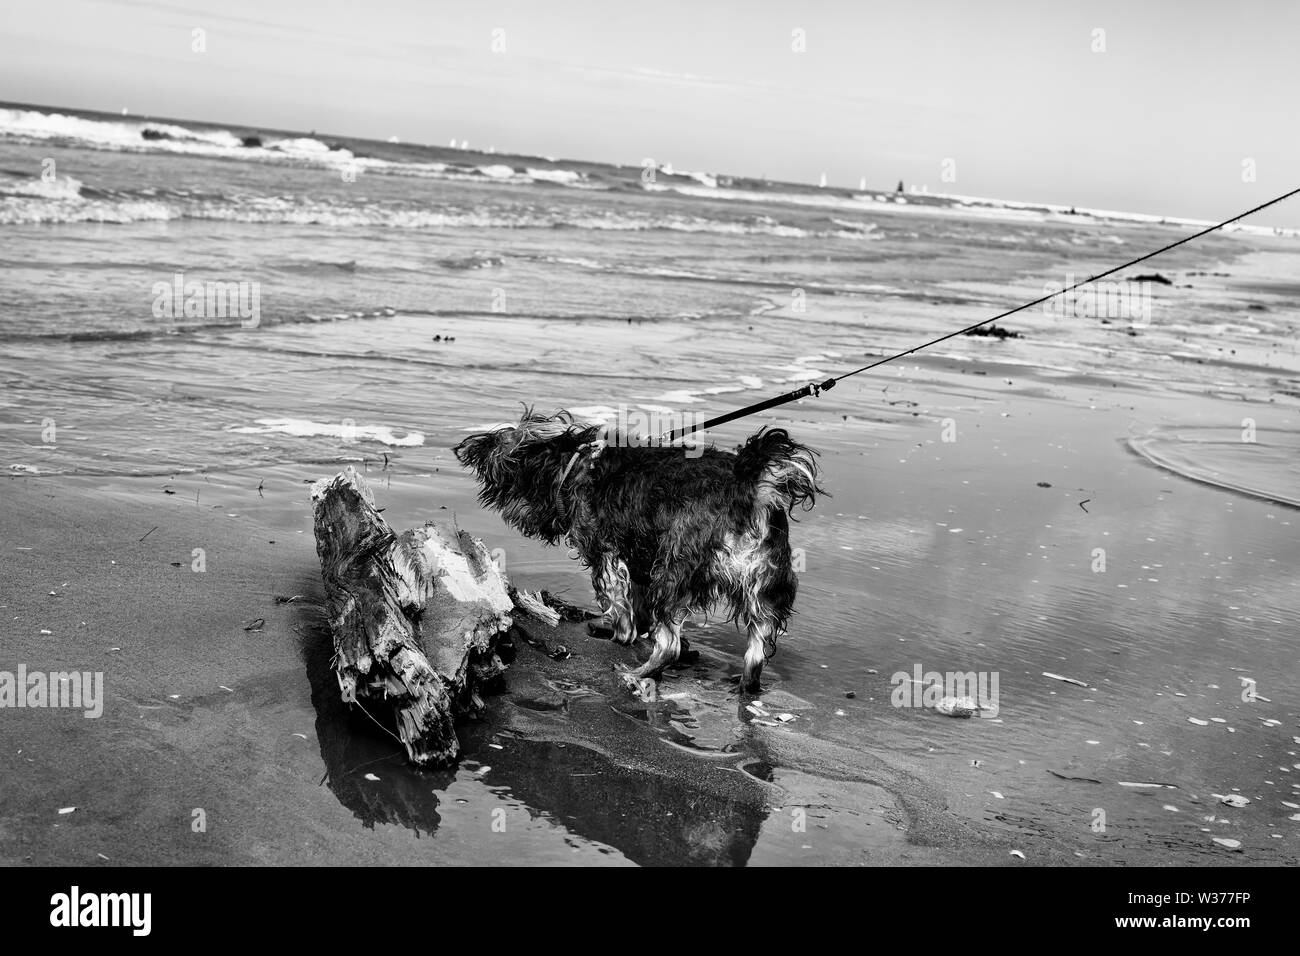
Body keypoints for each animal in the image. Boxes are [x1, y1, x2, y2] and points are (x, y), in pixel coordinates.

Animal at [454, 411, 821, 697]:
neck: (572, 464)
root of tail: (750, 487)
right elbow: (637, 600)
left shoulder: (607, 554)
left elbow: (617, 601)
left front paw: (617, 631)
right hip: (764, 581)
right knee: (758, 644)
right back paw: (745, 683)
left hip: (675, 568)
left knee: (670, 642)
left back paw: (638, 673)